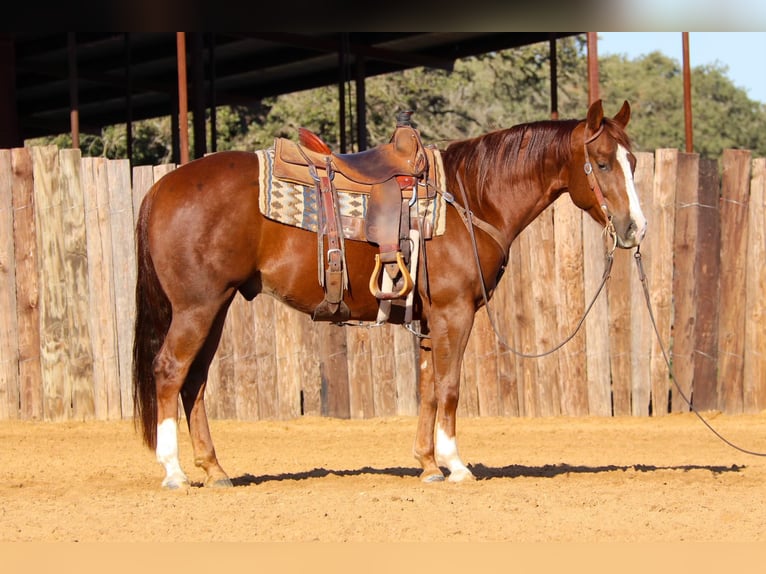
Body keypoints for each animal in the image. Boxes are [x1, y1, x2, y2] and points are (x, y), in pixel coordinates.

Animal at [132, 100, 648, 490]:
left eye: (634, 162)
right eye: (603, 163)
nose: (635, 229)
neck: (470, 199)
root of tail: (161, 187)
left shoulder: (430, 320)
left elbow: (428, 388)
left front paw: (428, 465)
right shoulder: (455, 313)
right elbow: (449, 387)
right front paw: (456, 465)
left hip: (215, 307)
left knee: (195, 382)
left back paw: (215, 469)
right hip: (197, 308)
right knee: (170, 371)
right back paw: (174, 472)